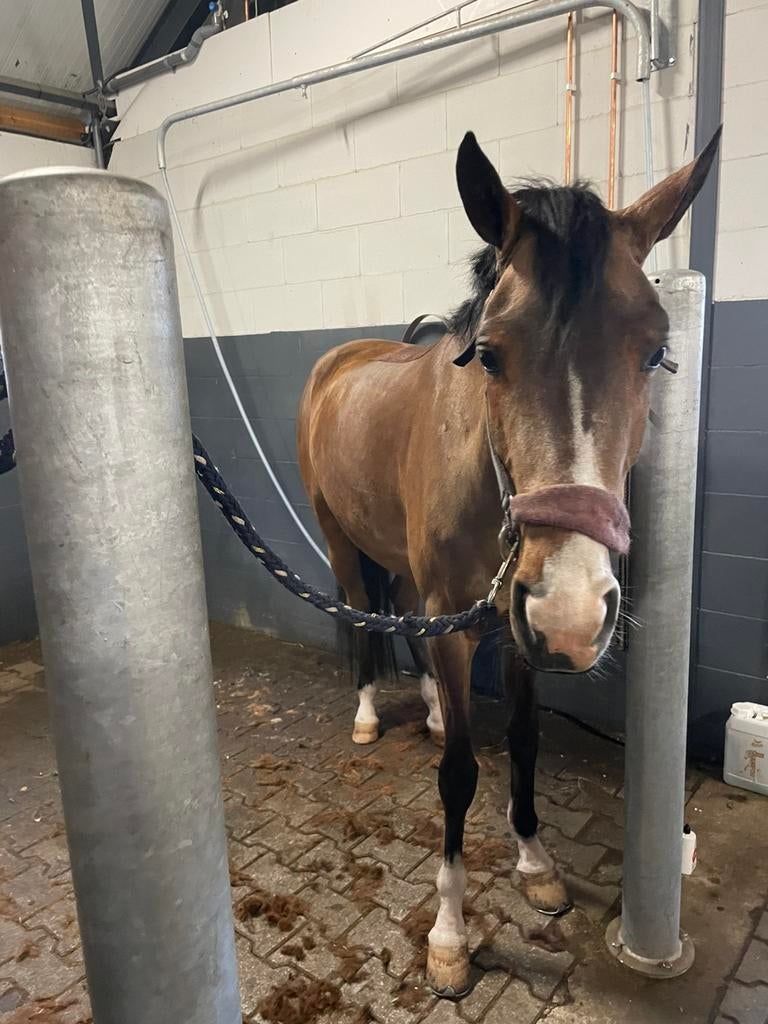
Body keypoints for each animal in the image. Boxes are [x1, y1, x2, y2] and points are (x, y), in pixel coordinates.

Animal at [297, 128, 720, 998]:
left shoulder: (517, 632)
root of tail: (340, 359)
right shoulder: (468, 628)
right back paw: (368, 715)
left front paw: (534, 864)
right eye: (488, 355)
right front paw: (450, 935)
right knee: (363, 618)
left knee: (399, 618)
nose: (575, 610)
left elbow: (523, 743)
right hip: (340, 540)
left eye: (657, 351)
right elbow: (460, 775)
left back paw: (427, 710)